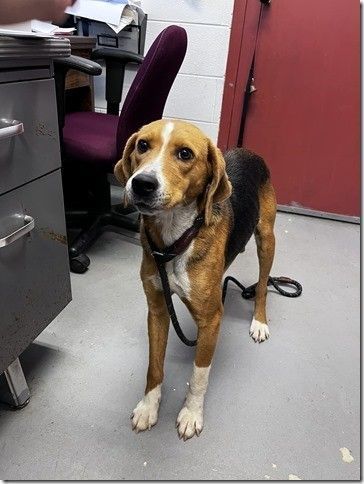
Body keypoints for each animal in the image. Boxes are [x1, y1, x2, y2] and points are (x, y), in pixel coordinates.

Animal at [115, 119, 278, 440]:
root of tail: (248, 151)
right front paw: (148, 407)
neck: (174, 240)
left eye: (185, 154)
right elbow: (154, 366)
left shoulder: (211, 319)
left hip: (267, 239)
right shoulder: (157, 310)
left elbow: (199, 374)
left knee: (263, 286)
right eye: (142, 145)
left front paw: (191, 414)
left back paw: (259, 321)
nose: (141, 183)